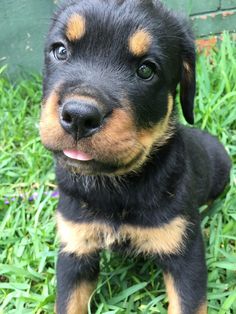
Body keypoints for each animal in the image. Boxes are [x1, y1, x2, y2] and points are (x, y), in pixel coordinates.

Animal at [39, 0, 231, 314]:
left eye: (146, 70)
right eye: (61, 51)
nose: (79, 116)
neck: (115, 187)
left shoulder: (185, 253)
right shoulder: (74, 247)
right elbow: (68, 303)